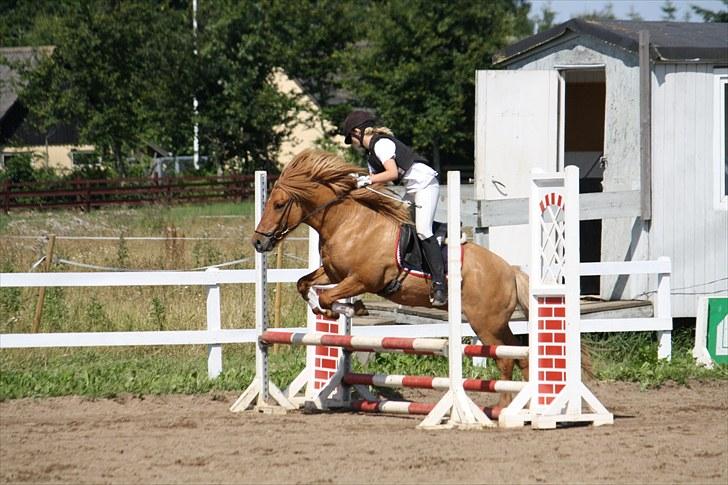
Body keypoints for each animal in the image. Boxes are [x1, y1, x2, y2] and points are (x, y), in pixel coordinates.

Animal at [250, 147, 528, 404]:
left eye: (279, 204)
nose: (258, 242)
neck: (346, 222)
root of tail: (510, 271)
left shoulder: (362, 280)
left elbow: (329, 297)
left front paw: (351, 309)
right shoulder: (333, 273)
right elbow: (303, 283)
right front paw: (326, 309)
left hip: (486, 323)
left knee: (506, 359)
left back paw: (506, 408)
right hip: (495, 323)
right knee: (520, 353)